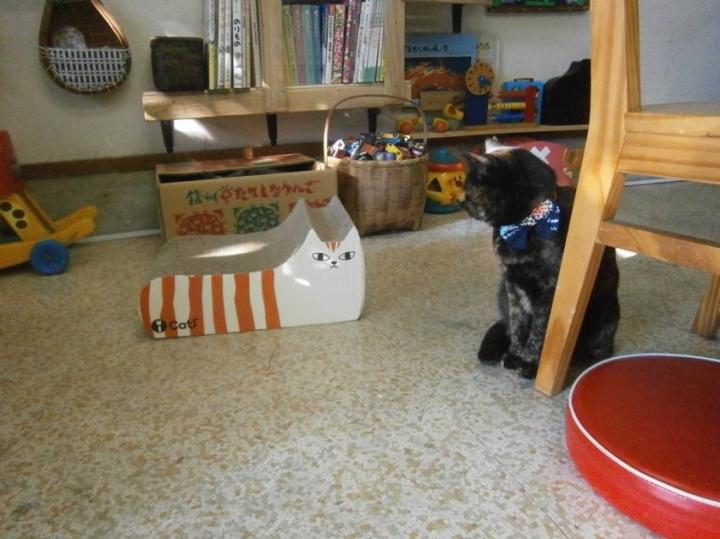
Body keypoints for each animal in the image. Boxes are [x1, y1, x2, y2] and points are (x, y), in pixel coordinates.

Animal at [464, 148, 620, 379]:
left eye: (468, 187)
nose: (462, 203)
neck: (521, 226)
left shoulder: (550, 289)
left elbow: (539, 330)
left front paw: (529, 362)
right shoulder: (512, 284)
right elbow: (517, 323)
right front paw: (514, 354)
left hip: (605, 314)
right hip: (502, 292)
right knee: (505, 323)